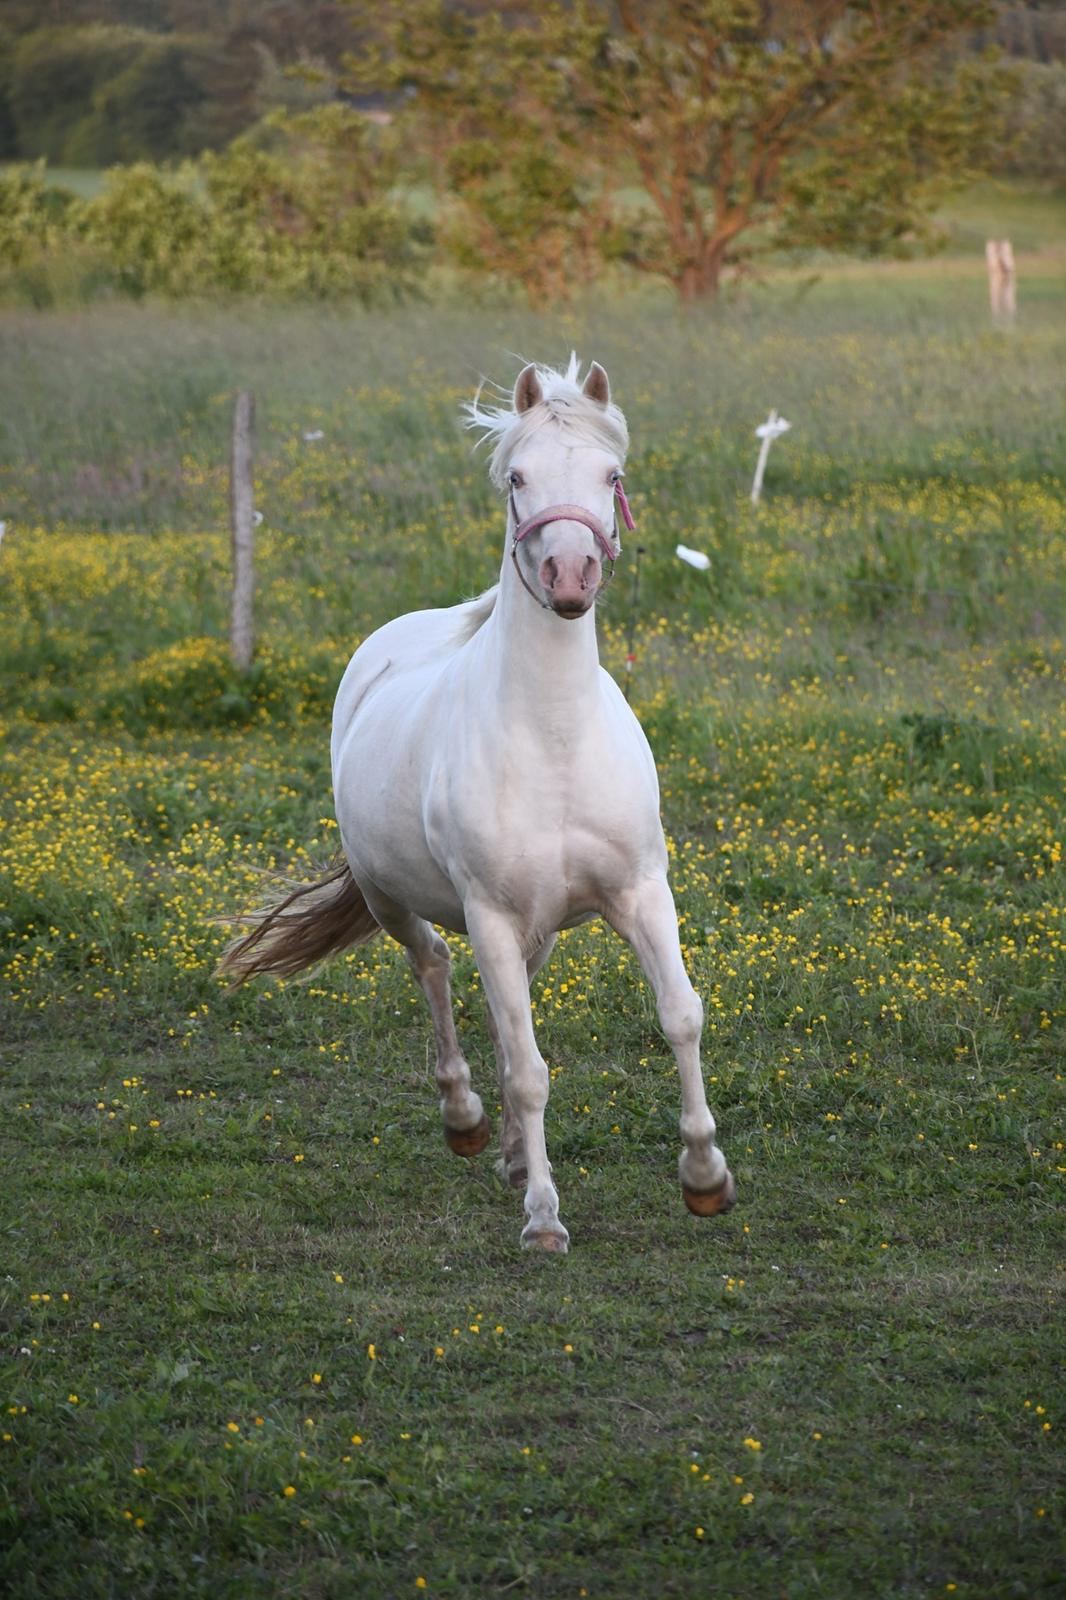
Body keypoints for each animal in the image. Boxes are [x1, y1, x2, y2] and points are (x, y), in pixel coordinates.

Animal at [219, 360, 726, 1248]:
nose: (570, 577)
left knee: (495, 1010)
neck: (555, 738)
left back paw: (516, 1156)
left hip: (535, 934)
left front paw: (705, 1177)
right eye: (517, 478)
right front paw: (544, 1219)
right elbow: (527, 1071)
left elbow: (680, 1016)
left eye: (612, 476)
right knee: (434, 969)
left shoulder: (640, 892)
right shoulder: (488, 913)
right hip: (393, 899)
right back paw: (467, 1122)